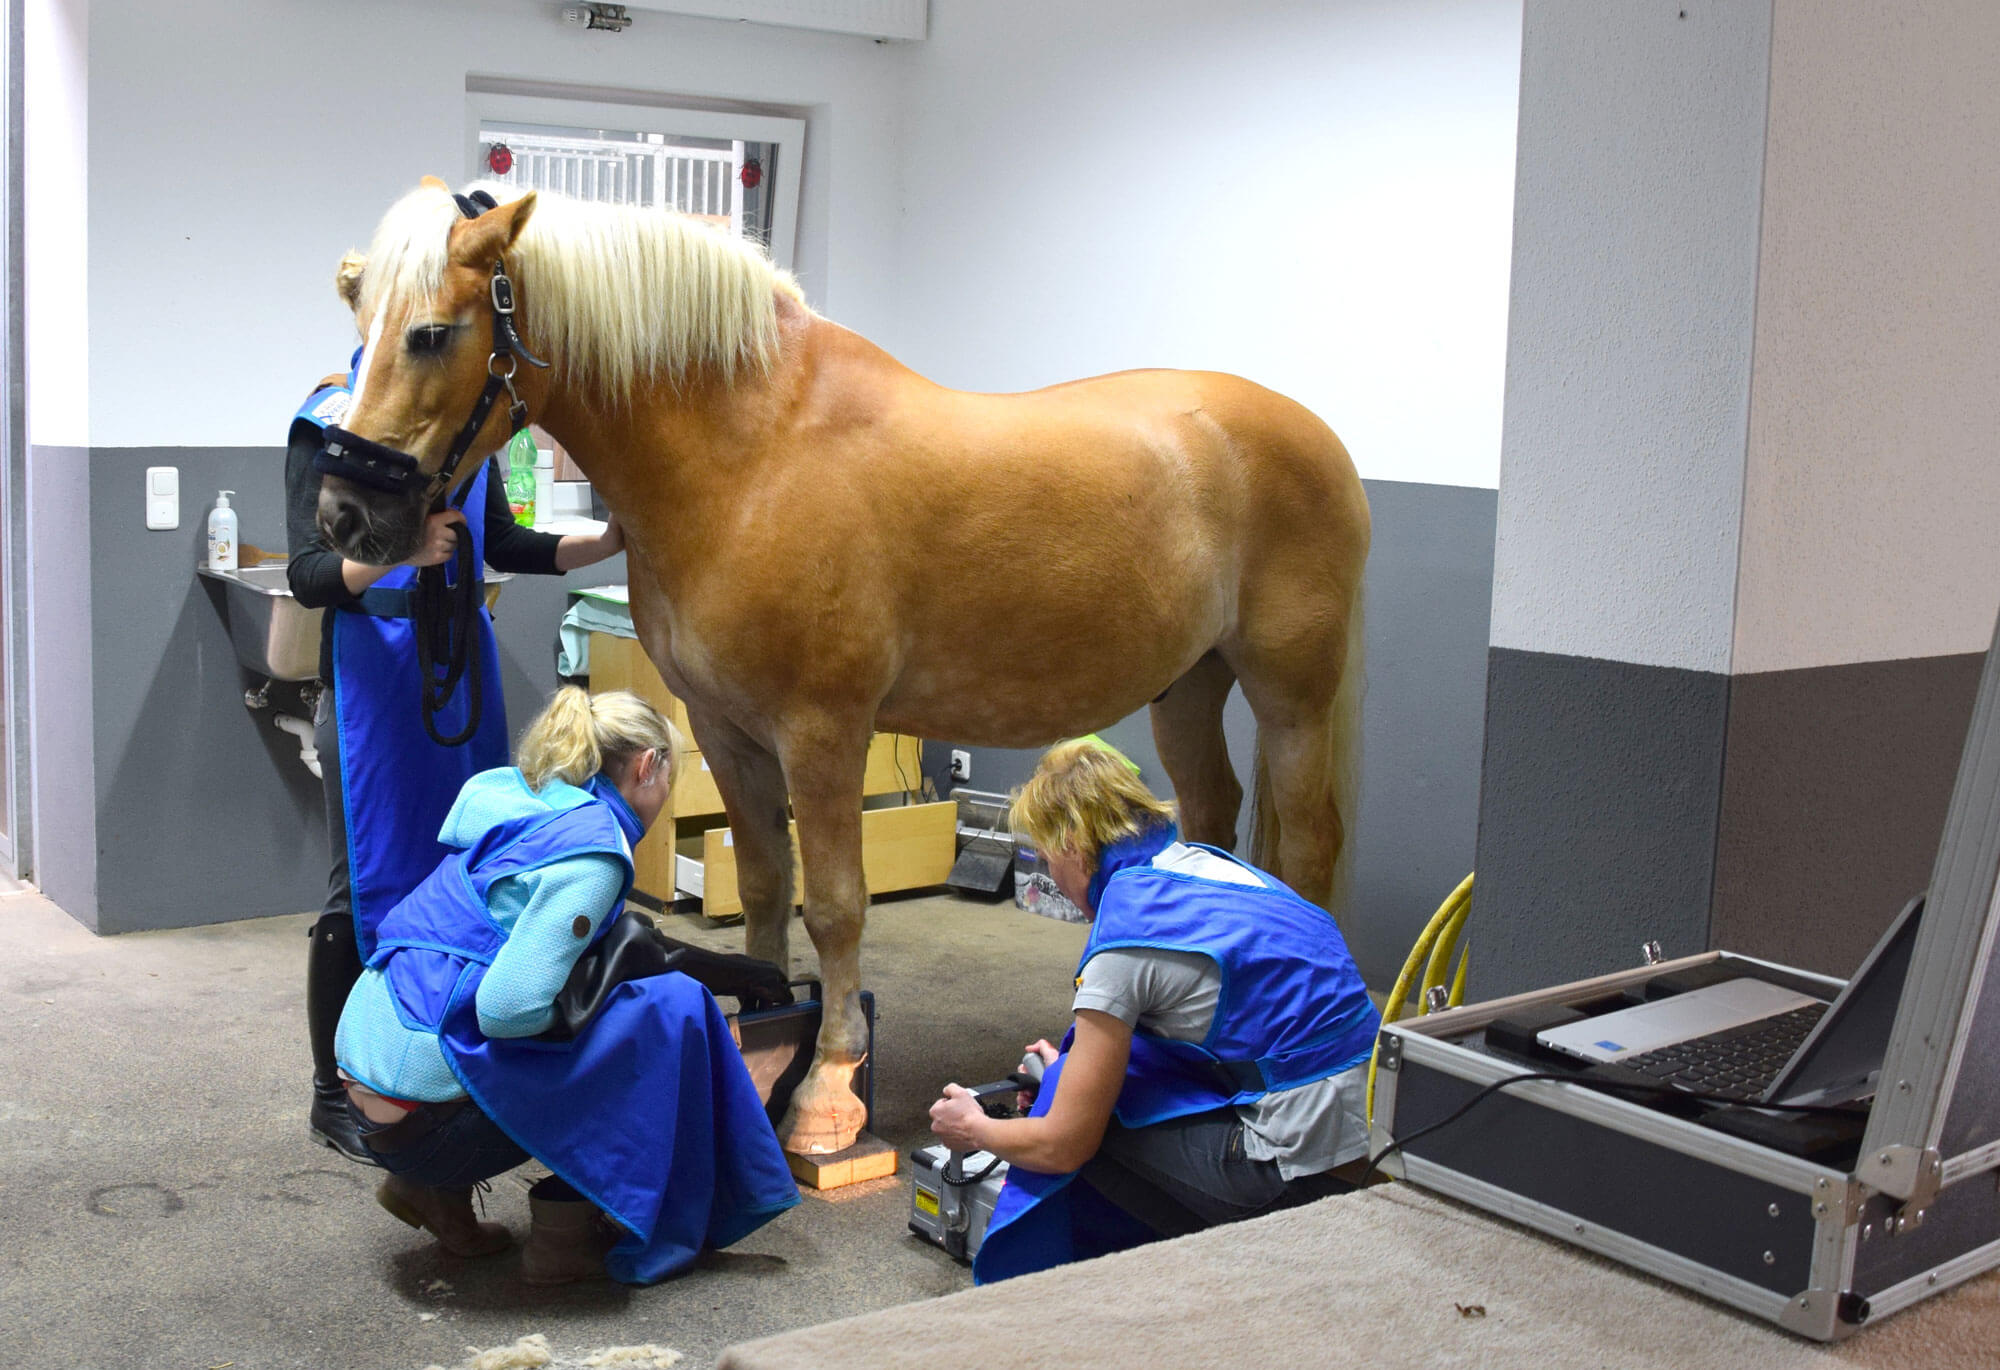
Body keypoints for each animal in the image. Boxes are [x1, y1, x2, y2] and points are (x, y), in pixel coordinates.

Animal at [316, 176, 1376, 1152]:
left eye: (433, 334)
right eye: (363, 326)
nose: (346, 517)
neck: (752, 453)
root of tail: (1315, 437)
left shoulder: (822, 731)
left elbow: (833, 905)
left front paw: (829, 1086)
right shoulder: (728, 731)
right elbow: (763, 886)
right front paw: (760, 1029)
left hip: (1292, 694)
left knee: (1309, 841)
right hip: (1186, 685)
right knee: (1213, 819)